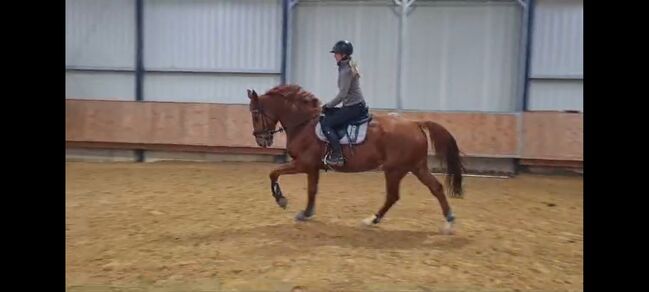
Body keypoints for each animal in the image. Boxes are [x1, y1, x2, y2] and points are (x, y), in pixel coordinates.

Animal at [246, 85, 464, 235]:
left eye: (255, 114)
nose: (261, 140)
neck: (304, 124)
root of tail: (415, 123)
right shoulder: (313, 167)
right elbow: (312, 190)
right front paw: (306, 213)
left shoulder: (303, 163)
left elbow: (273, 173)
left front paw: (281, 200)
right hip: (415, 167)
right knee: (435, 188)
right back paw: (448, 222)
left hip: (395, 169)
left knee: (393, 196)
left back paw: (372, 220)